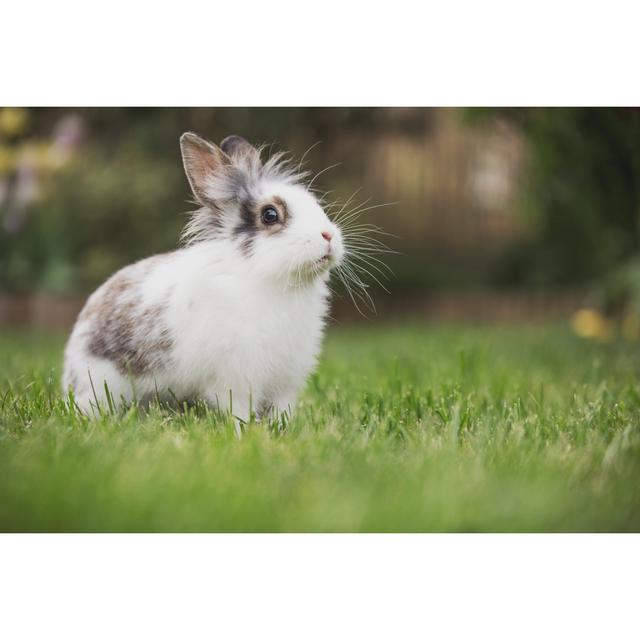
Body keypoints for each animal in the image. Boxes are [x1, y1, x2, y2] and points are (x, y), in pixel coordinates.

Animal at [62, 131, 348, 420]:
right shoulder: (235, 378)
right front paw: (243, 427)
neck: (266, 281)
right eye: (270, 215)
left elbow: (282, 410)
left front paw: (283, 426)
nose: (329, 236)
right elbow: (238, 408)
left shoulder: (285, 382)